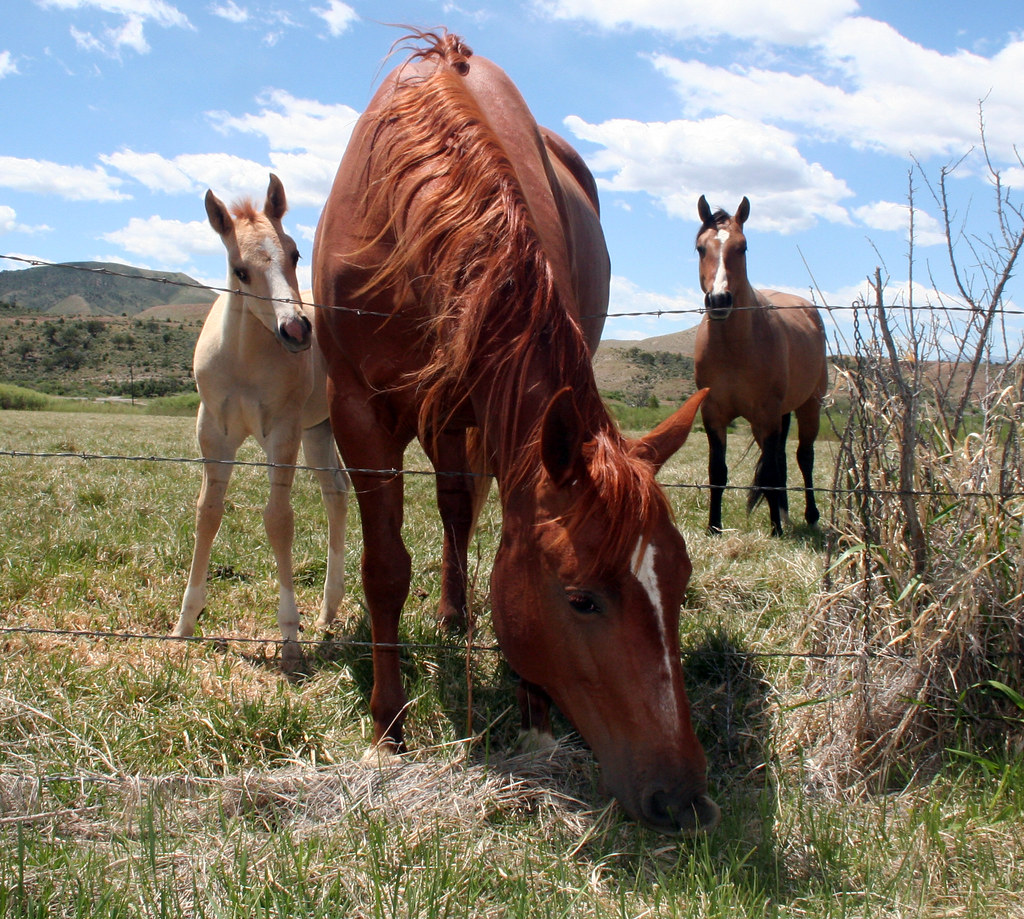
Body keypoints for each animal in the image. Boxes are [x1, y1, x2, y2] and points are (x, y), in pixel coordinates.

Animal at [173, 174, 350, 672]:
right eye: (239, 270)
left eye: (295, 253)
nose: (298, 329)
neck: (245, 360)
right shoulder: (213, 434)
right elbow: (208, 512)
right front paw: (184, 624)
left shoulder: (282, 433)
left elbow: (278, 519)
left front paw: (289, 637)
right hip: (318, 431)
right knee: (336, 492)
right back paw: (328, 610)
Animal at [313, 30, 718, 834]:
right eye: (581, 598)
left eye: (681, 581)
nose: (684, 797)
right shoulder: (359, 411)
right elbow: (384, 569)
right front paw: (387, 729)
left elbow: (503, 540)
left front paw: (534, 719)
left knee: (458, 509)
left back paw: (458, 614)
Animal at [693, 195, 828, 537]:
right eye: (700, 248)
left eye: (742, 247)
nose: (719, 300)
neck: (734, 347)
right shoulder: (713, 413)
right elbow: (718, 471)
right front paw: (714, 527)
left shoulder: (766, 415)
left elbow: (770, 473)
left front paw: (776, 530)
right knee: (780, 460)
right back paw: (783, 512)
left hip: (809, 405)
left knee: (803, 457)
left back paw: (808, 515)